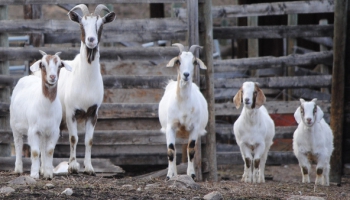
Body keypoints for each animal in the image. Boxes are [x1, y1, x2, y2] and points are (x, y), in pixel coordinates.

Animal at [10, 50, 72, 179]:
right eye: (43, 65)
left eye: (59, 65)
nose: (52, 77)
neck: (46, 107)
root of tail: (28, 77)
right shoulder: (33, 130)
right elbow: (34, 152)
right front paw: (34, 175)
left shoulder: (54, 131)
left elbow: (49, 151)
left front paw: (48, 174)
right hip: (14, 124)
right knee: (18, 143)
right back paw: (18, 169)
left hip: (44, 132)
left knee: (43, 147)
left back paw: (43, 169)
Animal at [56, 3, 115, 174]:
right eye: (81, 23)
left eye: (100, 24)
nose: (91, 40)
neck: (86, 81)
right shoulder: (71, 112)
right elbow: (73, 138)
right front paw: (73, 166)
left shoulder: (93, 113)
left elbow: (89, 140)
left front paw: (89, 167)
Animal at [159, 42, 208, 180]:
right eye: (179, 61)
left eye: (194, 61)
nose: (186, 75)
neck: (183, 104)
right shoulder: (170, 127)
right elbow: (171, 151)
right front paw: (169, 176)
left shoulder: (194, 128)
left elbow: (191, 151)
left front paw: (192, 175)